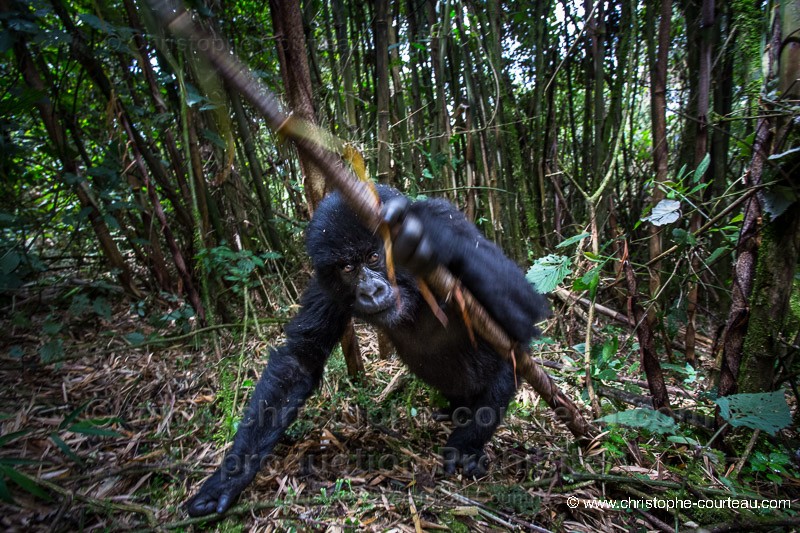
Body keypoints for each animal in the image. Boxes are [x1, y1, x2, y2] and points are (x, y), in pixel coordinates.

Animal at [187, 184, 552, 516]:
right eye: (348, 267)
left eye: (375, 257)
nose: (371, 290)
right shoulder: (326, 283)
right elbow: (299, 360)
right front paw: (231, 475)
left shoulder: (450, 220)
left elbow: (524, 309)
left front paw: (425, 236)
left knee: (502, 377)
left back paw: (468, 444)